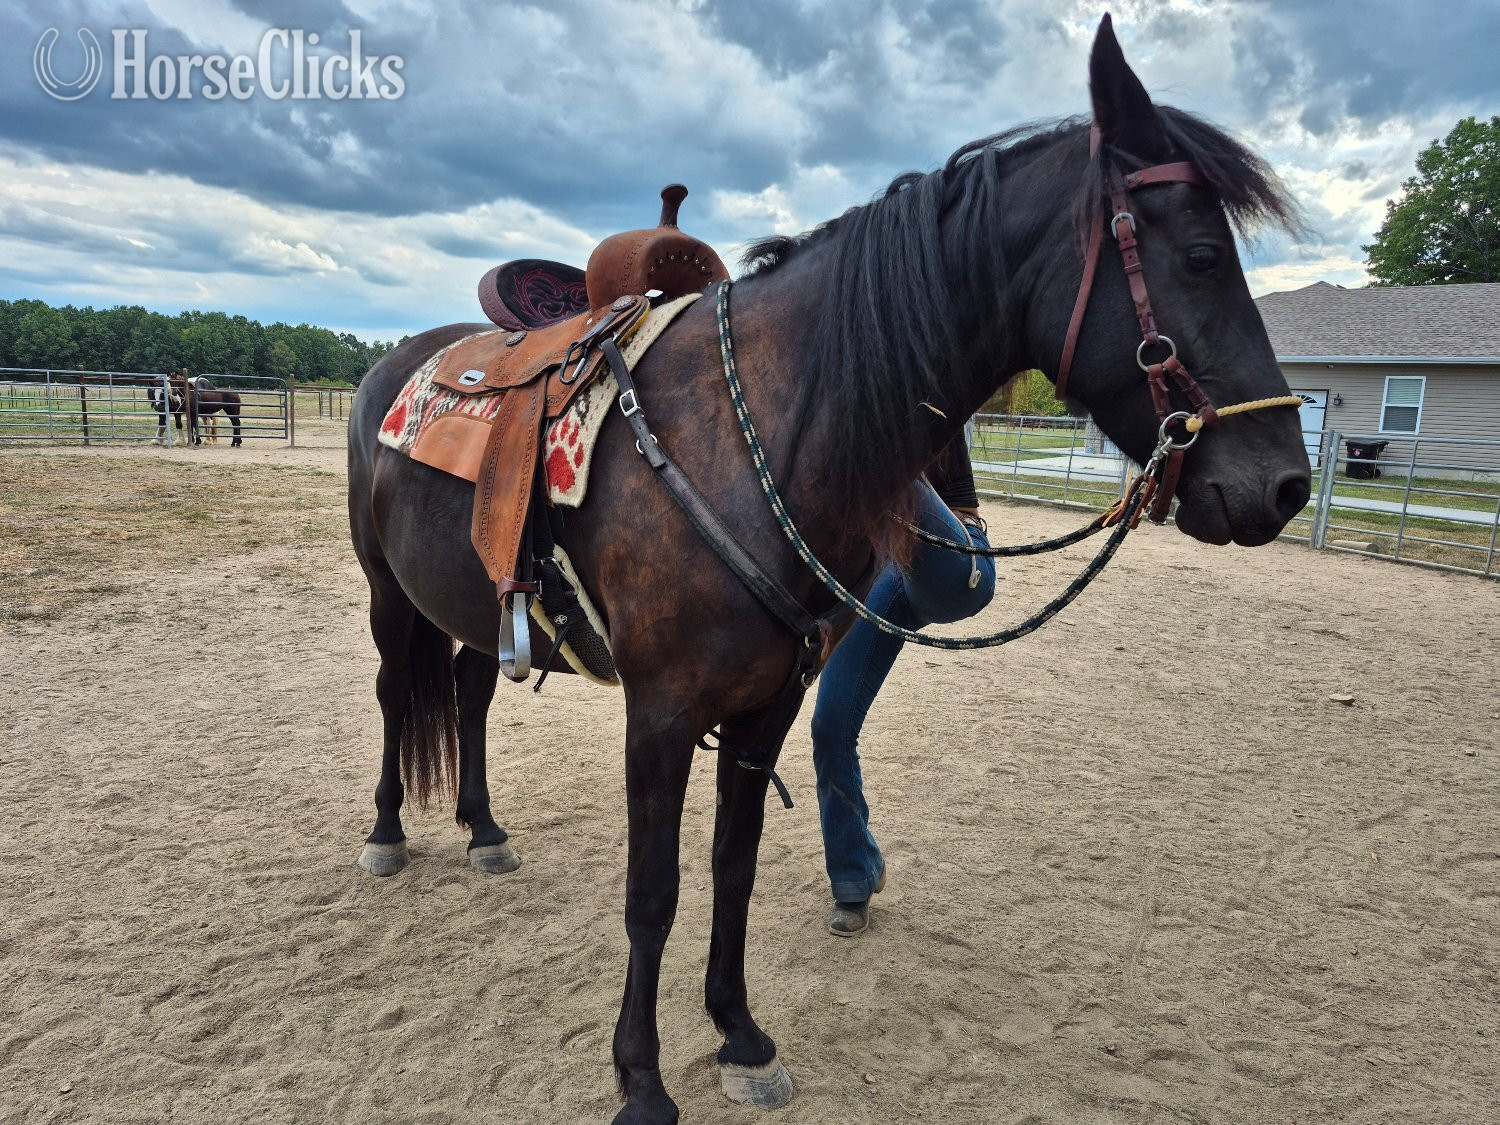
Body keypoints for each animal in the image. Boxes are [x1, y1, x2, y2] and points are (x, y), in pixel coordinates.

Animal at [345, 17, 1310, 1122]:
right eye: (1201, 255)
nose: (1286, 483)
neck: (751, 431)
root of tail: (396, 365)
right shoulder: (660, 714)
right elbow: (653, 893)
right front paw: (641, 1076)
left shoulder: (767, 704)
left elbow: (732, 869)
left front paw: (739, 1034)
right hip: (387, 595)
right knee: (394, 694)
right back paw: (388, 833)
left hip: (473, 606)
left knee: (467, 694)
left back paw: (482, 827)